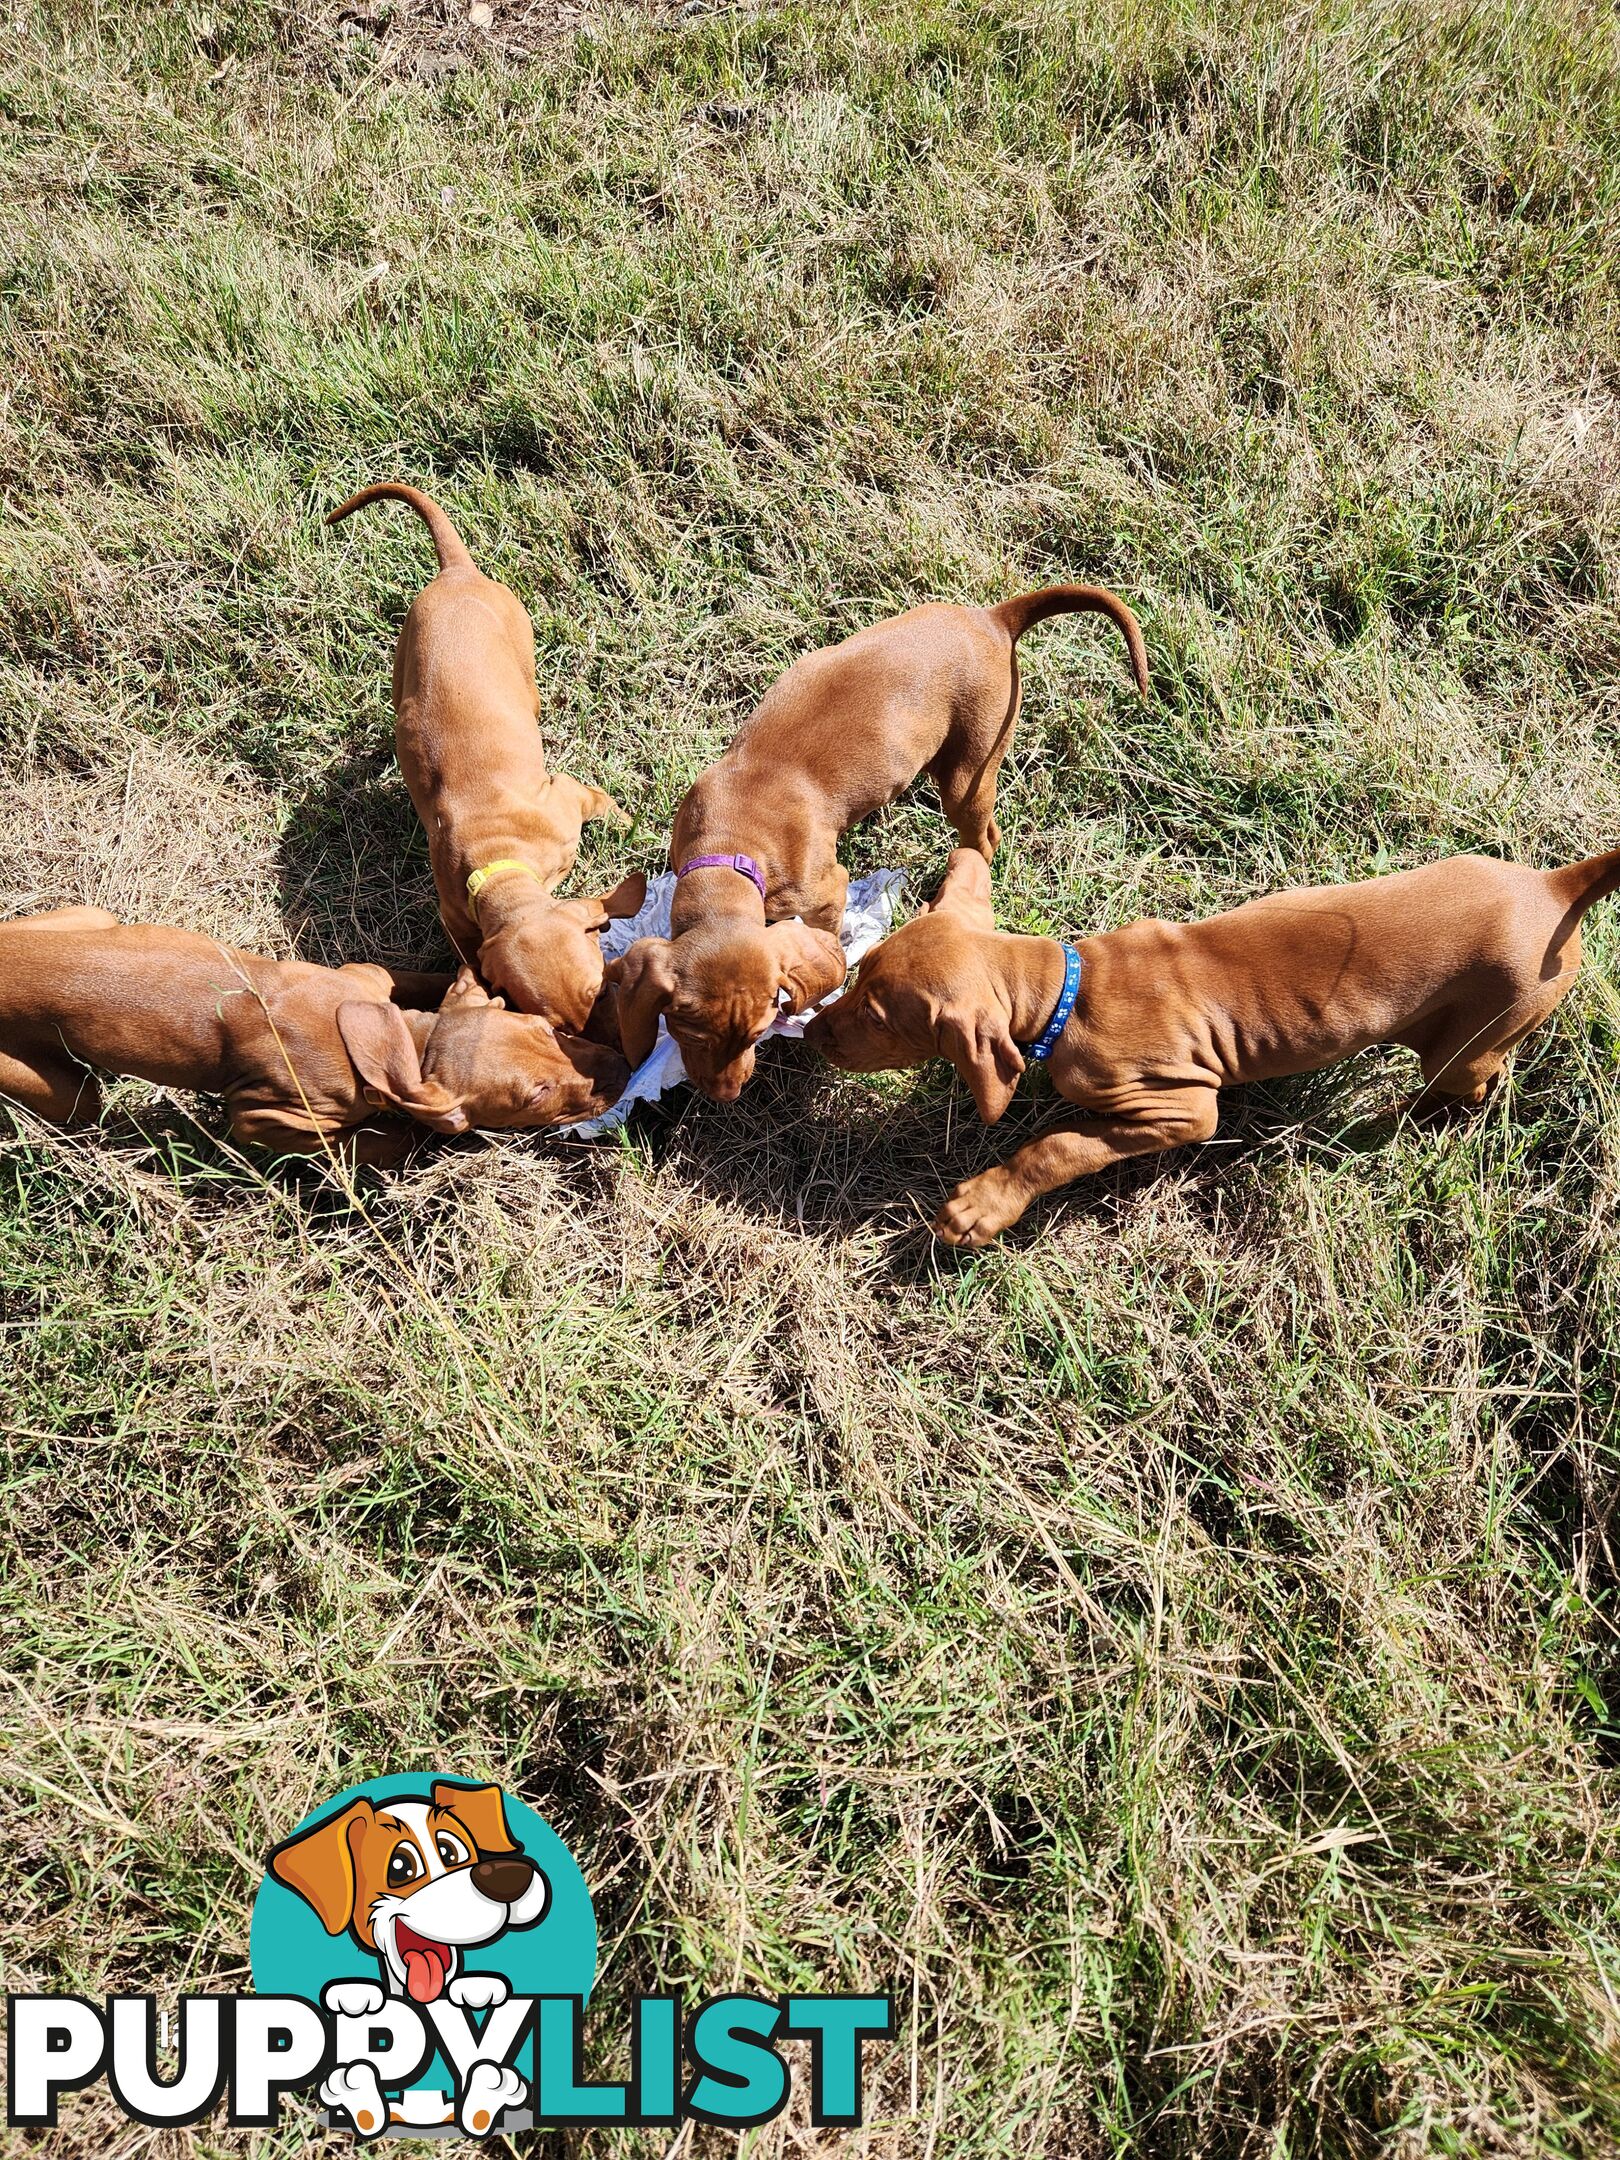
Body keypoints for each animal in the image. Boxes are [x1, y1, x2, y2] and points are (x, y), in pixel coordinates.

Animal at [0, 907, 626, 1166]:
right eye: (534, 1096)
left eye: (543, 1027)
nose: (621, 1068)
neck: (405, 1044)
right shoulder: (260, 1117)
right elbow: (362, 1141)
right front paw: (406, 1140)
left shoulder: (367, 978)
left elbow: (422, 980)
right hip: (65, 1093)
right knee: (82, 1102)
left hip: (92, 916)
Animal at [326, 486, 648, 1032]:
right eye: (555, 1025)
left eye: (600, 990)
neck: (499, 858)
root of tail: (456, 573)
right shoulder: (457, 914)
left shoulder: (564, 795)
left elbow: (601, 801)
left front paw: (630, 825)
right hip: (404, 663)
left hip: (517, 652)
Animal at [609, 587, 1157, 1097]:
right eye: (691, 1037)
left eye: (757, 1033)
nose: (726, 1095)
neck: (730, 848)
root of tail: (993, 619)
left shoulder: (827, 890)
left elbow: (828, 939)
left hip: (968, 771)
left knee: (984, 836)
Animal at [812, 842, 1620, 1252]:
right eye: (862, 974)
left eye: (879, 1016)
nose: (815, 1030)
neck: (1067, 990)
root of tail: (1555, 887)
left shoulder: (1186, 1107)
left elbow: (1062, 1143)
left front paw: (985, 1203)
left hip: (1476, 1036)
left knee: (1471, 1084)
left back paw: (1393, 1121)